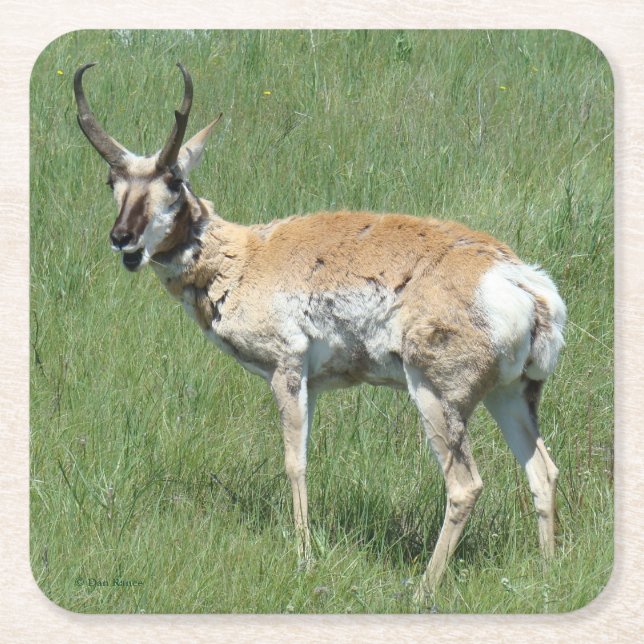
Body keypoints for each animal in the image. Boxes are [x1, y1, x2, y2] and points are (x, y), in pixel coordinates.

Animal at [74, 62, 566, 597]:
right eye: (111, 180)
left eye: (174, 180)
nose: (122, 238)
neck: (246, 256)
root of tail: (519, 279)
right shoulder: (314, 383)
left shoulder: (286, 371)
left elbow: (295, 461)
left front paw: (304, 557)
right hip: (510, 395)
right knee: (542, 471)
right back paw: (546, 574)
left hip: (438, 395)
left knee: (465, 486)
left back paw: (423, 587)